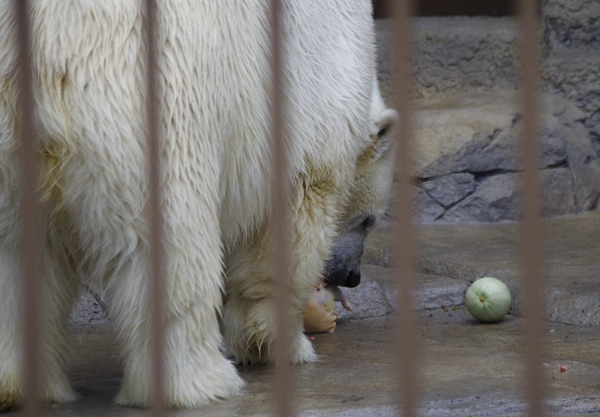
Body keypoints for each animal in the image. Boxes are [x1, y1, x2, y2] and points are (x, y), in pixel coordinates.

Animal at [0, 0, 376, 410]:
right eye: (369, 221)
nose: (353, 276)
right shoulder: (315, 96)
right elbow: (291, 224)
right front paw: (281, 344)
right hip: (155, 112)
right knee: (171, 249)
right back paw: (200, 381)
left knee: (17, 256)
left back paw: (19, 386)